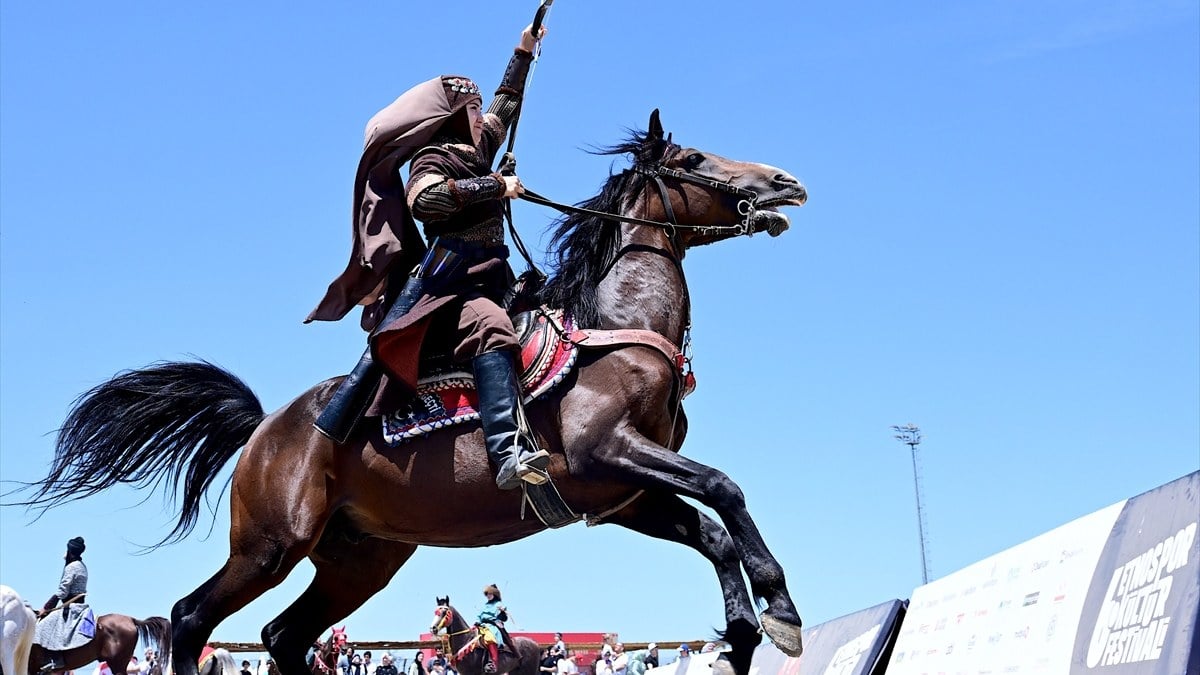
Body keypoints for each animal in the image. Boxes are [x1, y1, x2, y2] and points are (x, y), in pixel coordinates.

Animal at [16, 107, 806, 672]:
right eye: (694, 160)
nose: (786, 182)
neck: (612, 327)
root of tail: (267, 427)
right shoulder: (606, 453)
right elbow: (725, 489)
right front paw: (781, 608)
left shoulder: (621, 494)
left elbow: (713, 532)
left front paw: (747, 628)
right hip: (269, 546)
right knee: (190, 618)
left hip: (358, 559)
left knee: (282, 634)